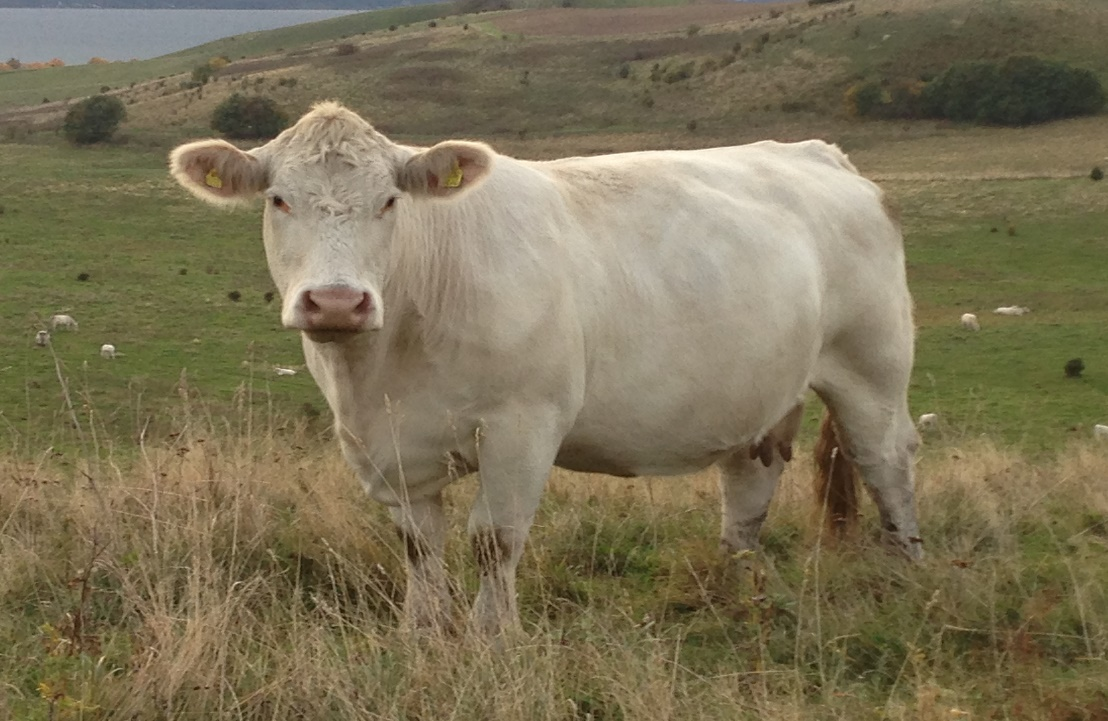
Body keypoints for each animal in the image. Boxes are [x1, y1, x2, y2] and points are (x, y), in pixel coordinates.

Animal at [168, 103, 921, 637]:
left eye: (389, 201)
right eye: (278, 200)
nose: (335, 301)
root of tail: (816, 153)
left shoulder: (522, 426)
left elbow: (494, 540)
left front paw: (492, 639)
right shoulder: (382, 444)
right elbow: (418, 546)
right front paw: (422, 635)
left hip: (871, 369)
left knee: (887, 462)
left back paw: (909, 572)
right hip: (757, 394)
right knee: (749, 487)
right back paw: (738, 589)